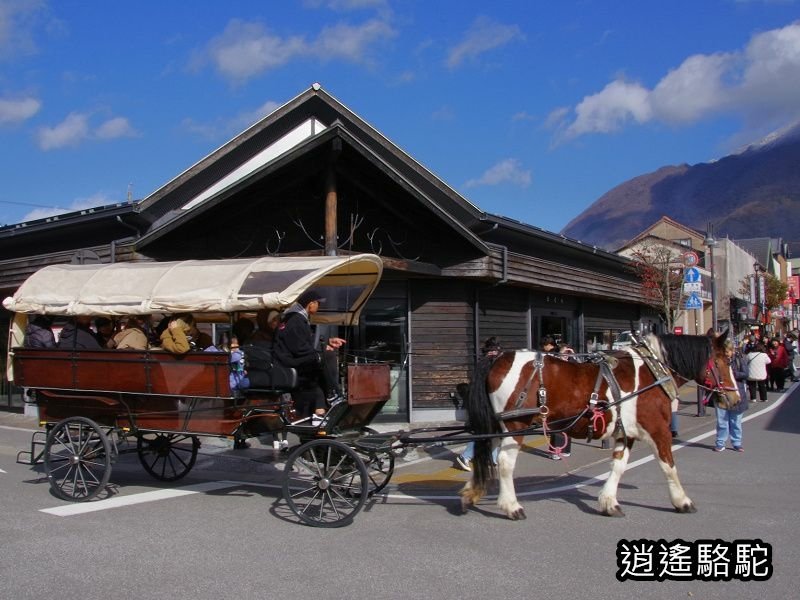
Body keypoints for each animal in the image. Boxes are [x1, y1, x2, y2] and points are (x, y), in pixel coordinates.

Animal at [460, 330, 740, 516]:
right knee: (505, 462)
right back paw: (511, 505)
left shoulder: (626, 432)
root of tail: (497, 358)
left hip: (497, 425)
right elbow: (668, 465)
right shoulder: (658, 428)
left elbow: (618, 465)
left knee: (484, 453)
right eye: (724, 361)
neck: (653, 372)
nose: (736, 398)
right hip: (516, 425)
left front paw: (609, 501)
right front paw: (682, 500)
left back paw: (472, 492)